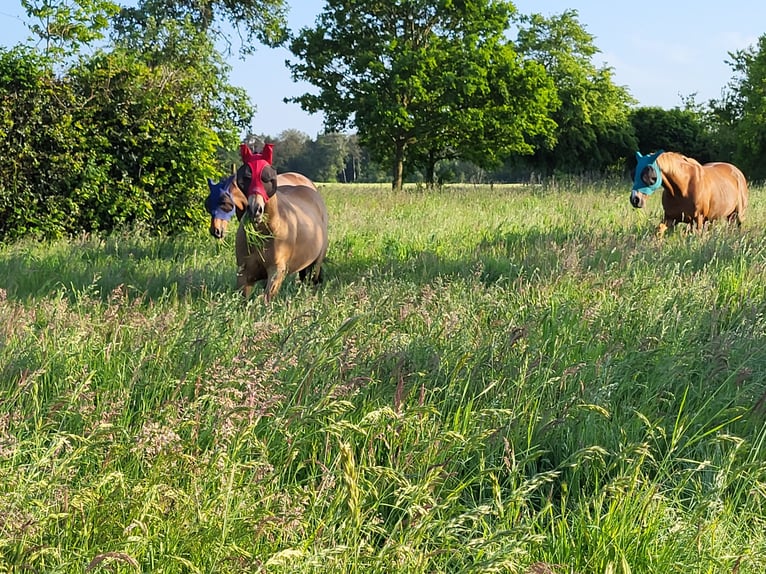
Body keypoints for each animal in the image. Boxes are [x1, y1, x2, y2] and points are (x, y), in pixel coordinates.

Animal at [232, 144, 328, 302]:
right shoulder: (244, 273)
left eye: (268, 178)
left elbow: (266, 299)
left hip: (316, 263)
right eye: (245, 177)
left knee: (312, 281)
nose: (255, 210)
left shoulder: (276, 271)